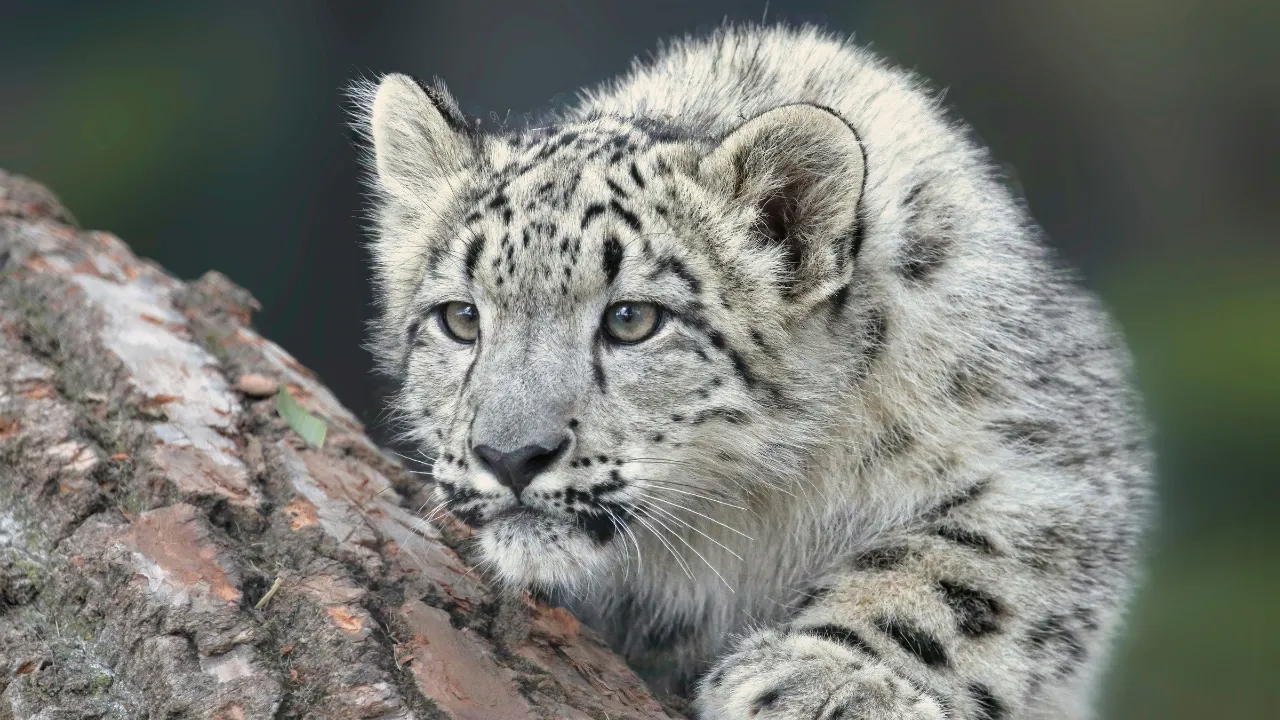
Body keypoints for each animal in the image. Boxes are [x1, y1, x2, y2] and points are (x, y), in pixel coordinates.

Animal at [351, 23, 1152, 720]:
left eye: (632, 319)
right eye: (461, 318)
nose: (511, 456)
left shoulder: (1047, 457)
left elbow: (961, 569)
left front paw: (833, 681)